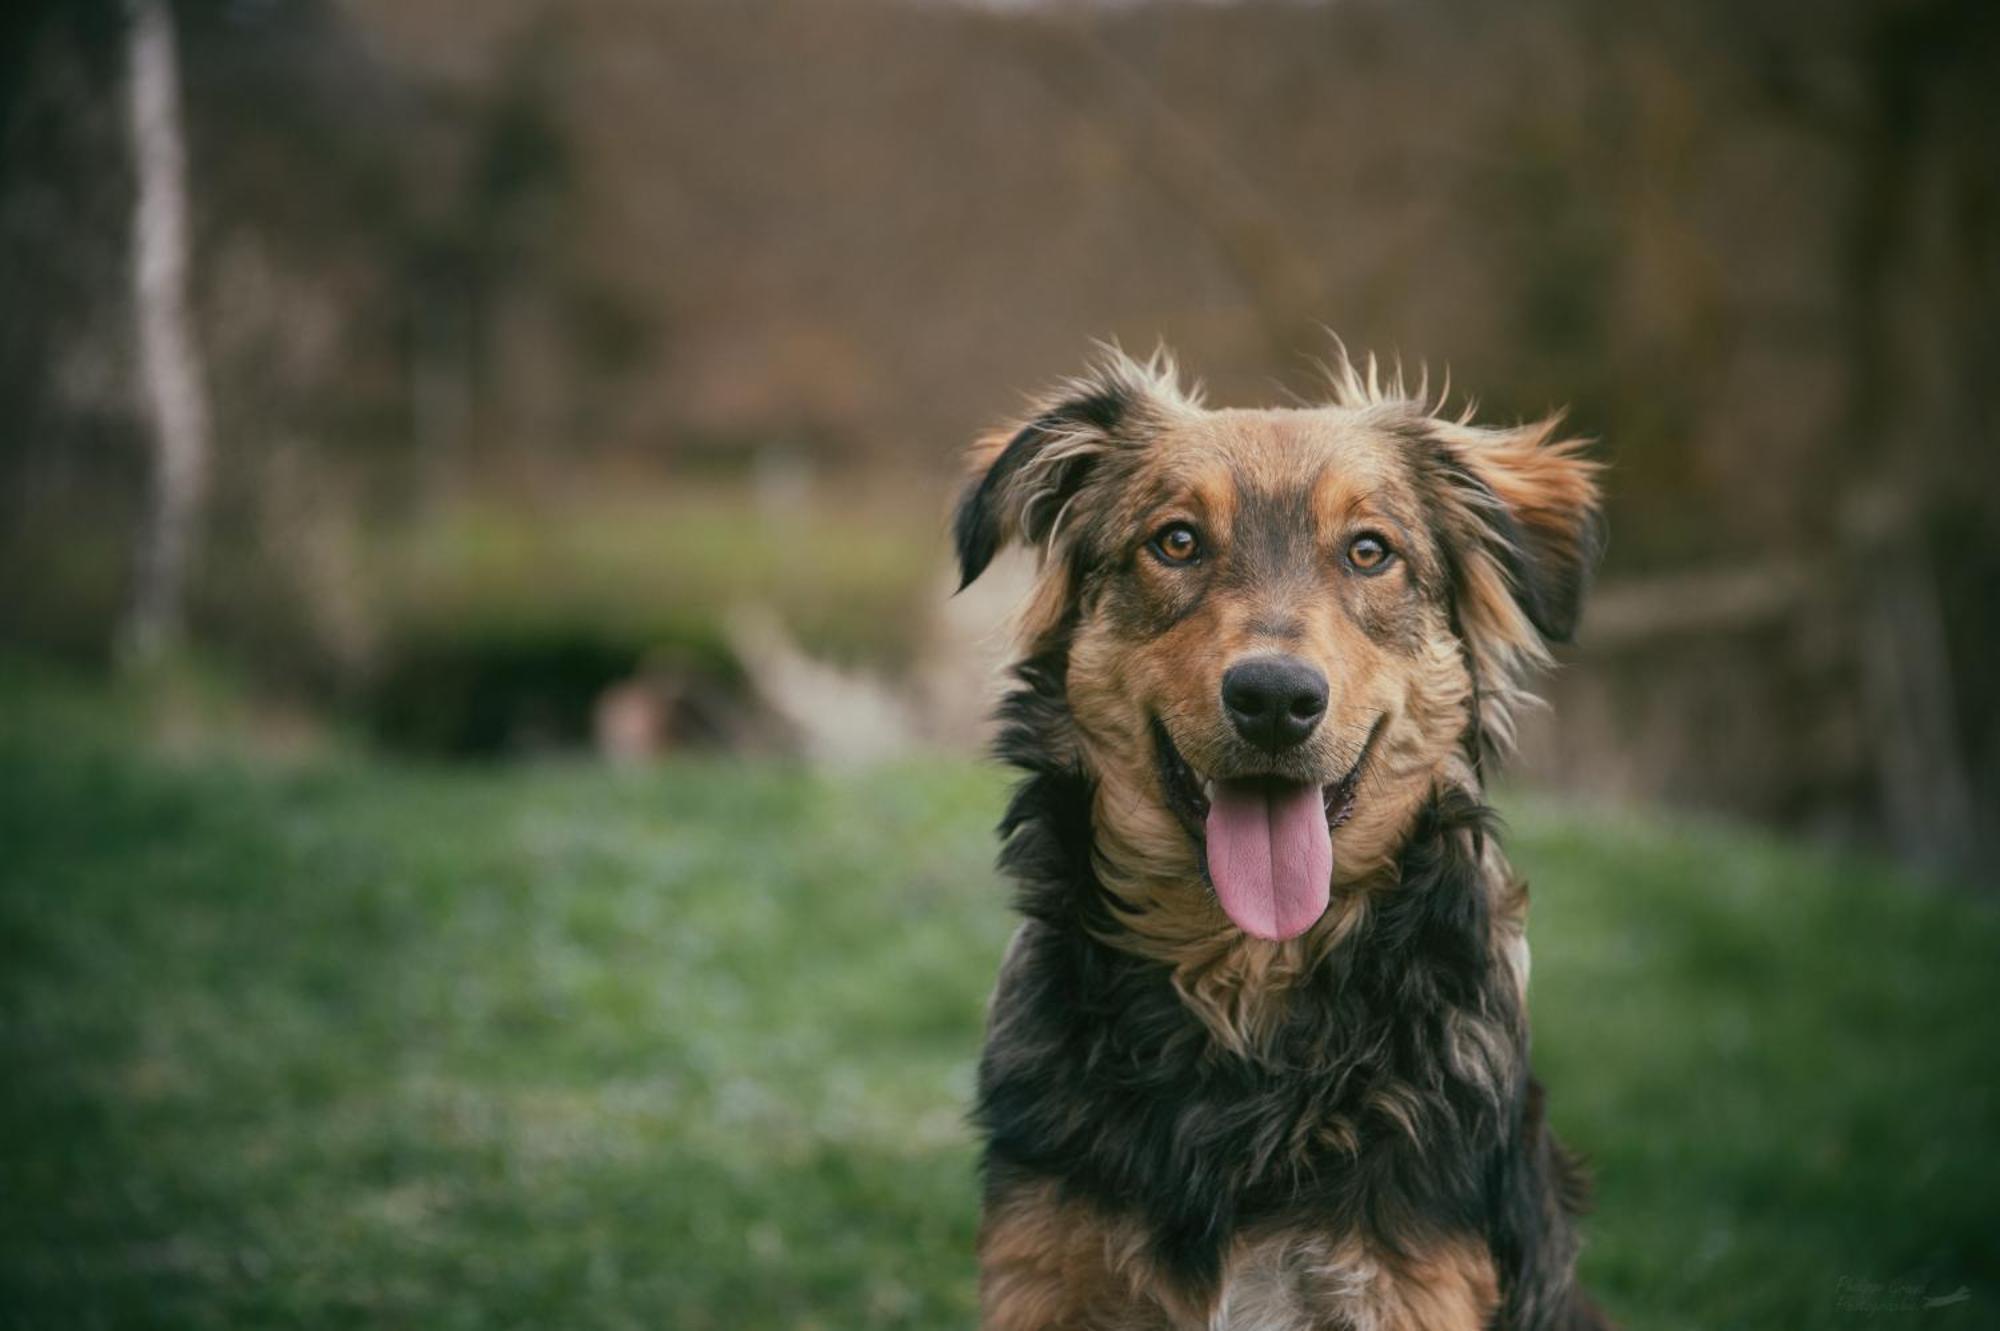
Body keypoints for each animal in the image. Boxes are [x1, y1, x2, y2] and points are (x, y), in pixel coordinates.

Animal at [952, 343, 1608, 1327]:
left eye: (1370, 551)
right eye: (1176, 541)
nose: (1273, 698)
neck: (1246, 983)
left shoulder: (1407, 1283)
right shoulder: (1047, 1266)